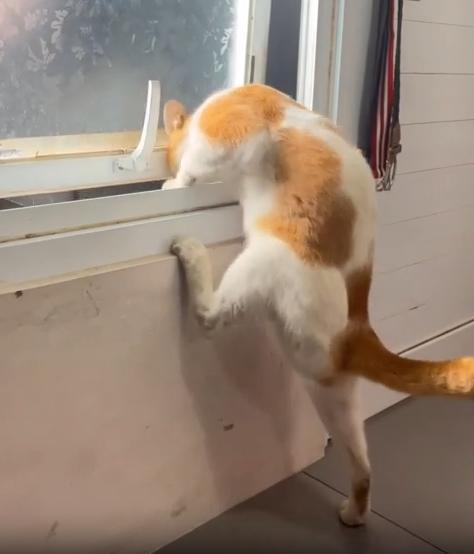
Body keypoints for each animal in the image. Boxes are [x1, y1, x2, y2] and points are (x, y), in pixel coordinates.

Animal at [162, 84, 474, 526]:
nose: (163, 168)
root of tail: (359, 330)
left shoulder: (233, 129)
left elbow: (195, 163)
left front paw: (174, 182)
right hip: (335, 400)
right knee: (363, 465)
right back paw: (354, 514)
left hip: (268, 258)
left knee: (209, 314)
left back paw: (189, 250)